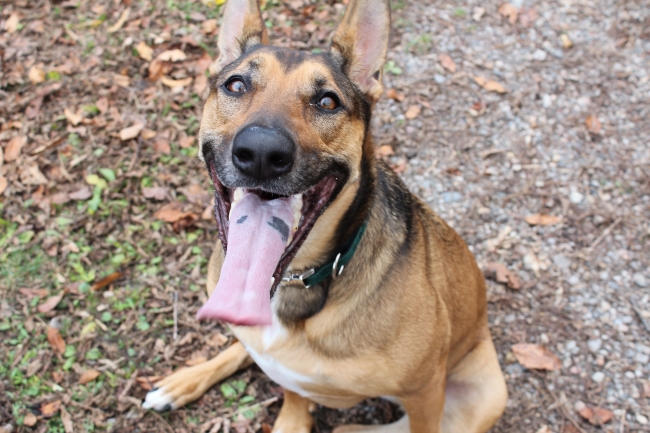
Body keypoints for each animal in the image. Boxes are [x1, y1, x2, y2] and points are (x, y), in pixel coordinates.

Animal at [142, 0, 506, 428]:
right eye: (236, 85)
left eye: (328, 101)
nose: (261, 153)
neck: (297, 280)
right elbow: (291, 394)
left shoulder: (426, 391)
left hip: (486, 395)